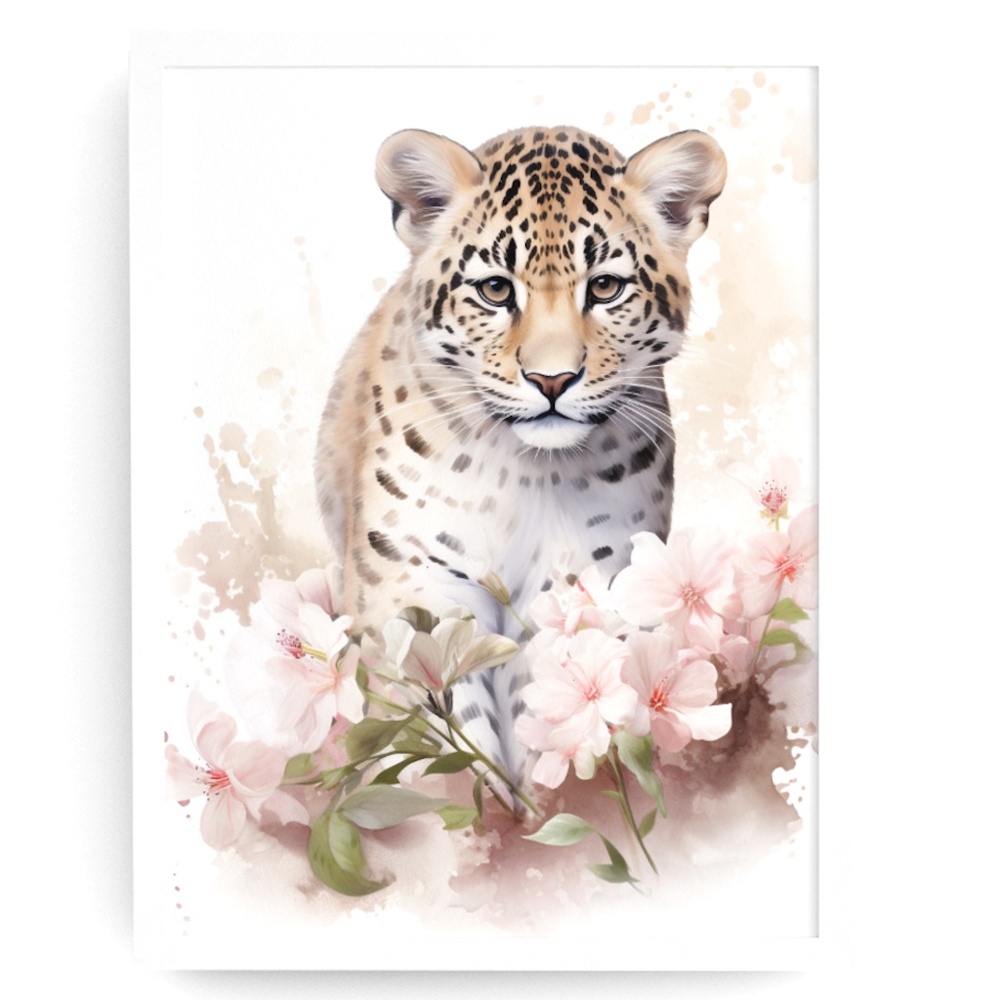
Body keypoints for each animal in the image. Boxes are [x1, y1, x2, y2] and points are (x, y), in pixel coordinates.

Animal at [315, 124, 726, 782]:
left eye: (605, 286)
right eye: (495, 289)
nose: (551, 379)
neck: (523, 472)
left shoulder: (578, 586)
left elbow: (551, 710)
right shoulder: (413, 591)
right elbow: (445, 740)